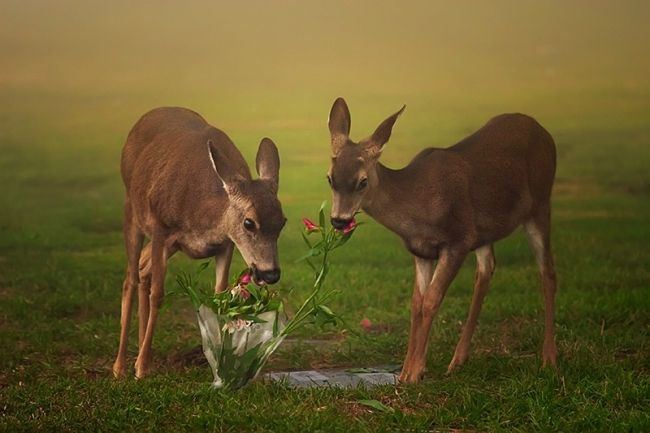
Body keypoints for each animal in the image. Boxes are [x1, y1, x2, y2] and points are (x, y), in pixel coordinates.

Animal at [112, 106, 284, 376]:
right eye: (249, 223)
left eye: (282, 222)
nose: (270, 273)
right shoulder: (161, 229)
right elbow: (158, 294)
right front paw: (141, 369)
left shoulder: (225, 243)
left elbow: (220, 296)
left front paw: (222, 365)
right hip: (133, 211)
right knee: (131, 277)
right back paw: (121, 367)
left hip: (169, 244)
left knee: (141, 270)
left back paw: (140, 352)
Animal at [326, 97, 556, 382]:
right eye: (330, 178)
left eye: (362, 182)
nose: (338, 220)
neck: (418, 205)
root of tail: (544, 132)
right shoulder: (421, 251)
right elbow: (417, 303)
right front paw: (406, 372)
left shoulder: (457, 241)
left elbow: (432, 300)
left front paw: (414, 374)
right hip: (484, 231)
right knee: (487, 268)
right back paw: (458, 360)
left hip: (540, 203)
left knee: (547, 272)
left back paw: (549, 359)